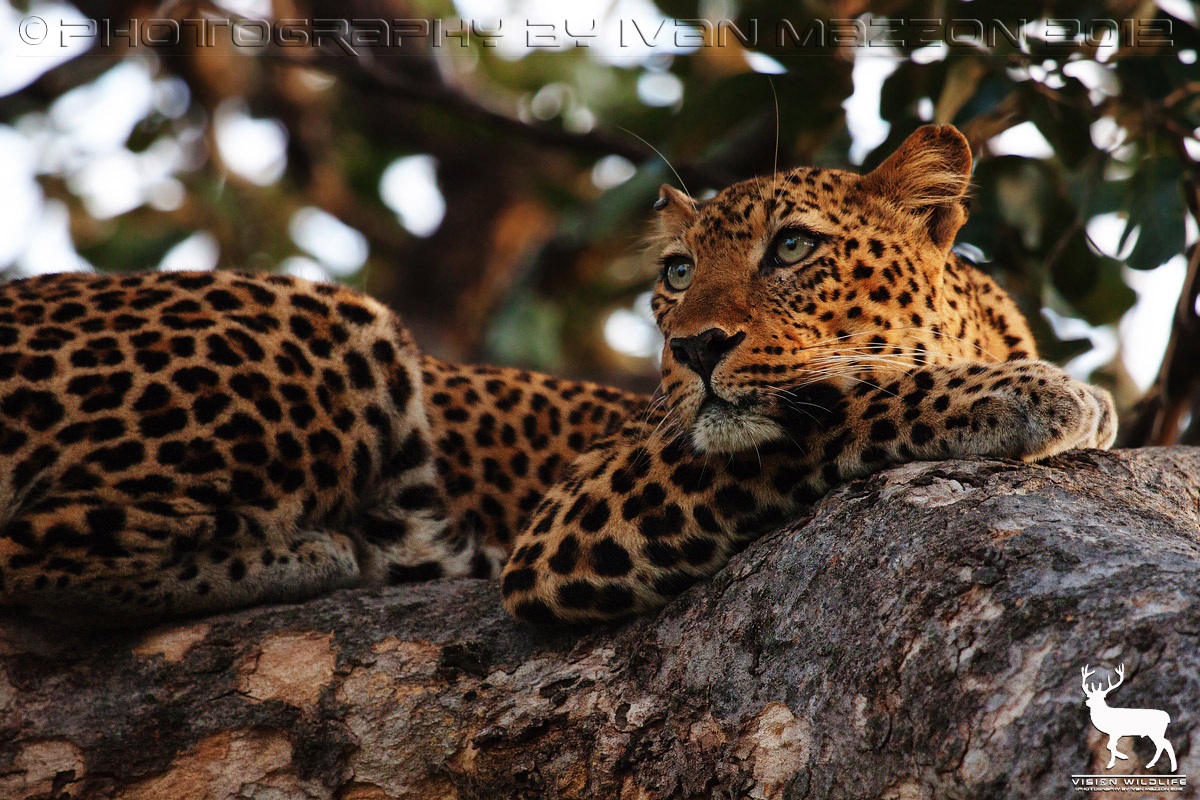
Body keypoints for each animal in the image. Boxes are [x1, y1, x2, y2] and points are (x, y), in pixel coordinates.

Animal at [0, 125, 1115, 627]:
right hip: (339, 319)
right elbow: (845, 398)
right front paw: (1034, 395)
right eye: (677, 273)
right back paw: (311, 554)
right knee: (32, 550)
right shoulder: (585, 505)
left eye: (794, 248)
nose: (694, 348)